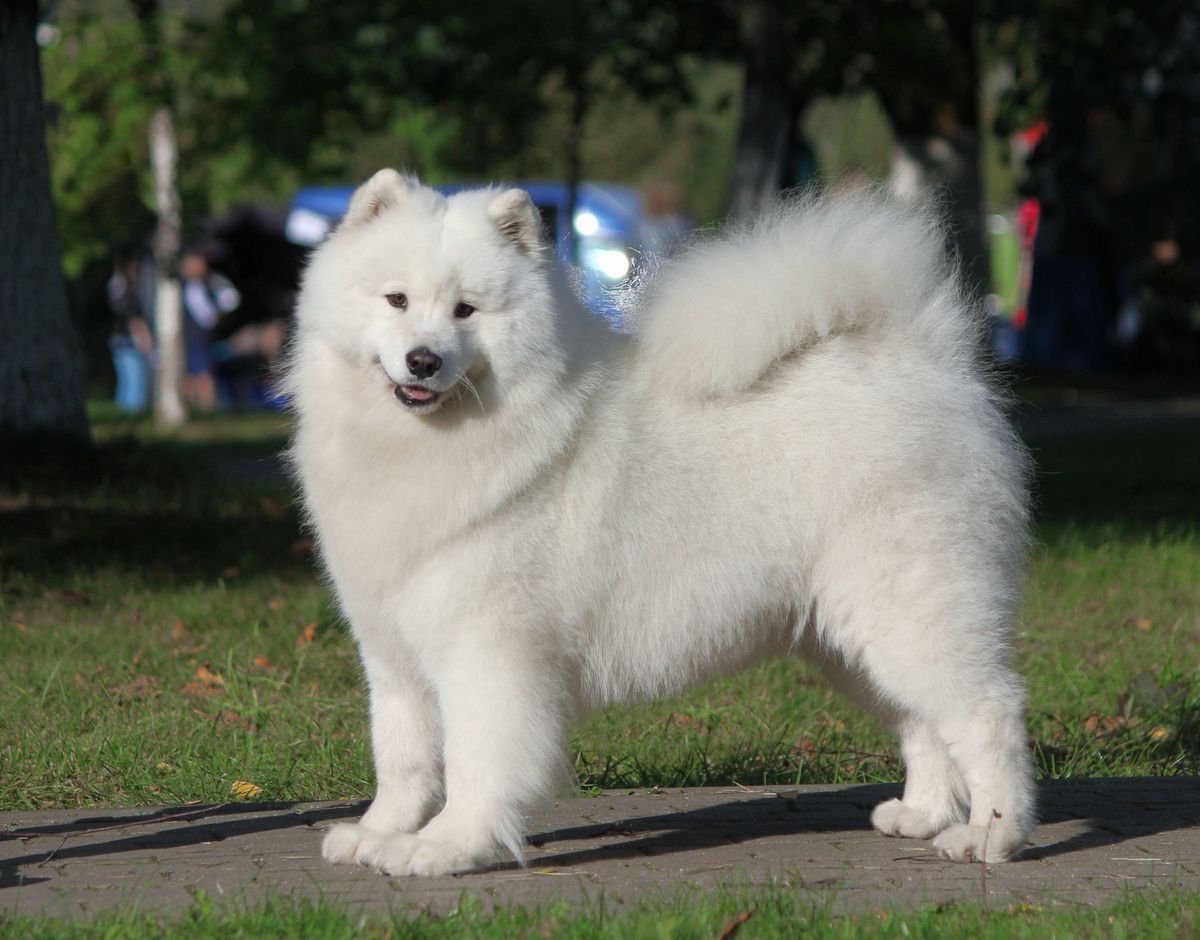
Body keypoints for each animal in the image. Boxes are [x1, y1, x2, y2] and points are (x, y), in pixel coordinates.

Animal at [285, 166, 1036, 873]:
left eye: (466, 311)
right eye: (396, 300)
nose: (424, 360)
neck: (428, 444)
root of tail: (923, 355)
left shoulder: (487, 650)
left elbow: (476, 762)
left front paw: (446, 847)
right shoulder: (394, 652)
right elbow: (402, 758)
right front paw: (378, 833)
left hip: (907, 606)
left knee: (986, 712)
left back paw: (990, 836)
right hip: (850, 634)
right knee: (922, 720)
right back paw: (924, 814)